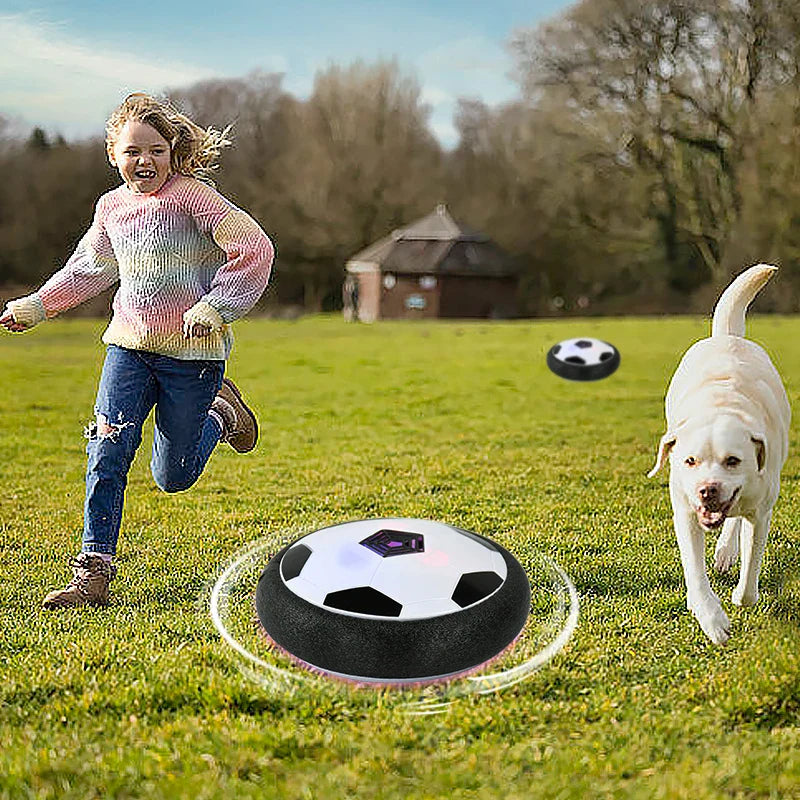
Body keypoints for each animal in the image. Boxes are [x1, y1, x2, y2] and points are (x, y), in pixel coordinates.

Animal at [648, 262, 788, 644]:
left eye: (733, 461)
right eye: (689, 461)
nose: (707, 490)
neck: (722, 404)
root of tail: (729, 336)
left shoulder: (761, 509)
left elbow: (751, 565)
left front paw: (741, 595)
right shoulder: (685, 510)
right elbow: (694, 571)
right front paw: (710, 616)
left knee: (736, 523)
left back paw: (726, 550)